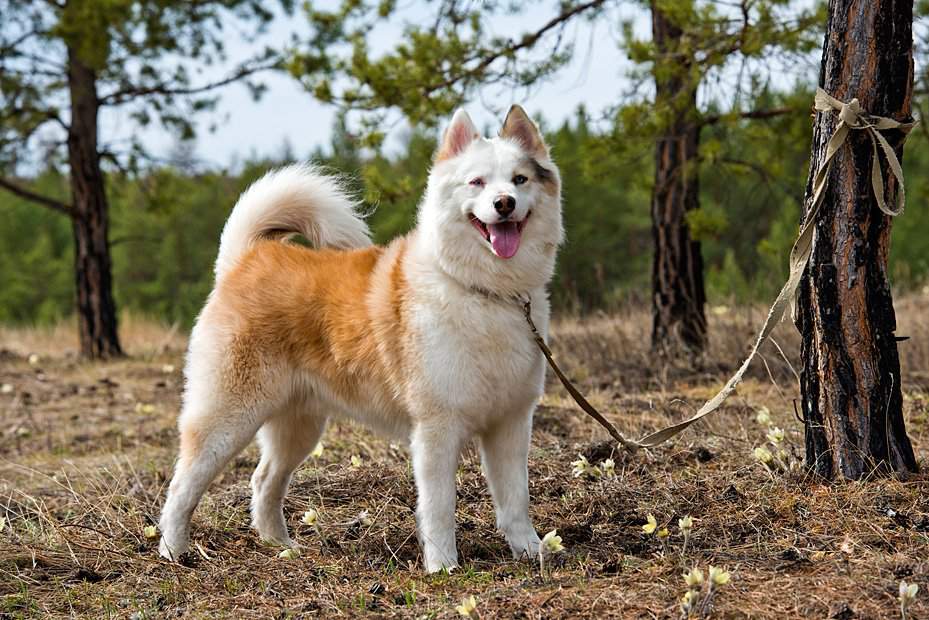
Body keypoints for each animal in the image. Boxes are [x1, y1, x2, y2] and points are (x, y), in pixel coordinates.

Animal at [157, 105, 560, 572]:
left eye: (519, 180)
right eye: (477, 182)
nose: (504, 204)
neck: (484, 291)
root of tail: (248, 258)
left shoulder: (511, 424)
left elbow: (516, 500)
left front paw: (532, 552)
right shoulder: (437, 430)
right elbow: (440, 508)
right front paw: (443, 567)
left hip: (299, 425)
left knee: (263, 481)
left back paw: (281, 546)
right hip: (226, 418)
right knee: (181, 488)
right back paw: (173, 551)